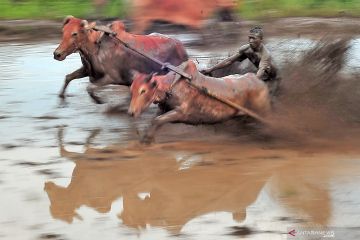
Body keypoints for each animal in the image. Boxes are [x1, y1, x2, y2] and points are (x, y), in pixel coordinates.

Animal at [53, 16, 190, 103]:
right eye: (63, 31)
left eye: (75, 33)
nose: (57, 54)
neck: (96, 47)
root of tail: (182, 48)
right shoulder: (87, 70)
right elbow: (68, 77)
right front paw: (61, 95)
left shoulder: (112, 77)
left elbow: (90, 87)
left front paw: (99, 100)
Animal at [128, 59, 268, 142]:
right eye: (131, 89)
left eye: (143, 91)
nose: (131, 112)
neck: (171, 86)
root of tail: (258, 80)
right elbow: (155, 120)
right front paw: (145, 138)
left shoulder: (181, 112)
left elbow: (157, 120)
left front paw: (147, 140)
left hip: (263, 112)